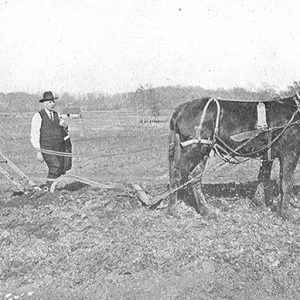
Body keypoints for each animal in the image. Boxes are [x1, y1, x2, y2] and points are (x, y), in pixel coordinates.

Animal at [168, 94, 300, 218]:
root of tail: (181, 108)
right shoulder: (290, 153)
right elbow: (286, 183)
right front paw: (285, 213)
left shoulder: (268, 155)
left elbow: (263, 178)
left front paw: (260, 204)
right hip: (193, 148)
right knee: (176, 173)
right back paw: (173, 210)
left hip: (203, 150)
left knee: (195, 177)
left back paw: (205, 211)